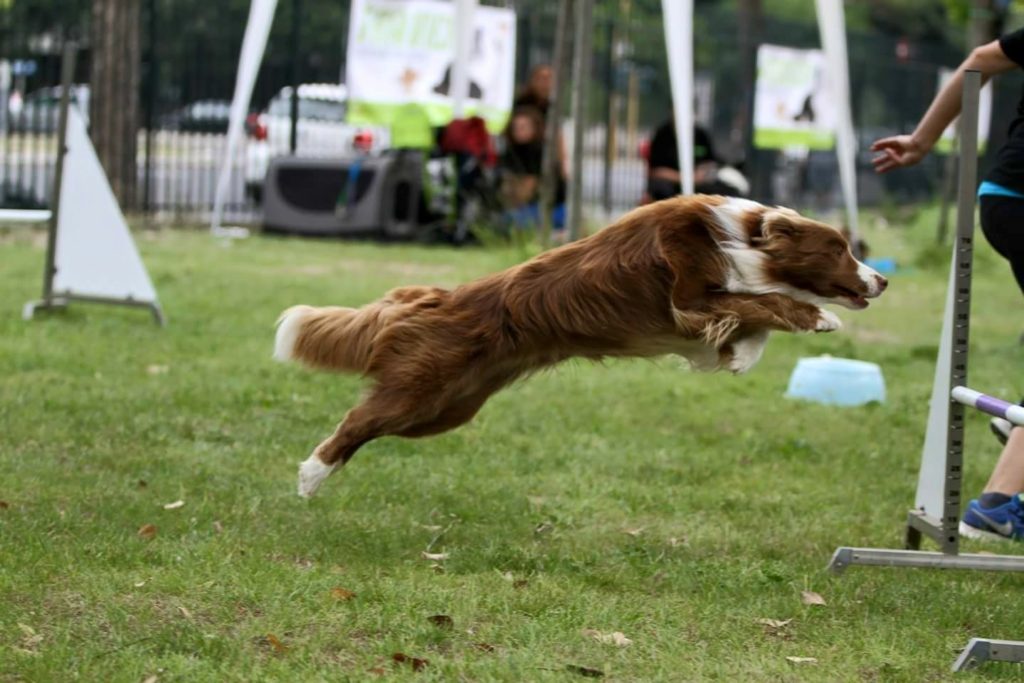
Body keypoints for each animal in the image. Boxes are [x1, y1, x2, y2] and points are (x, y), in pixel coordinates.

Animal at [276, 193, 884, 497]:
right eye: (838, 250)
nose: (881, 280)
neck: (741, 234)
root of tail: (433, 298)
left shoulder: (698, 312)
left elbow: (751, 317)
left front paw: (742, 355)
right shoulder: (687, 298)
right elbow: (760, 302)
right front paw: (816, 317)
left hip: (448, 410)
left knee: (369, 426)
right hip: (422, 392)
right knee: (356, 421)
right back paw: (309, 477)